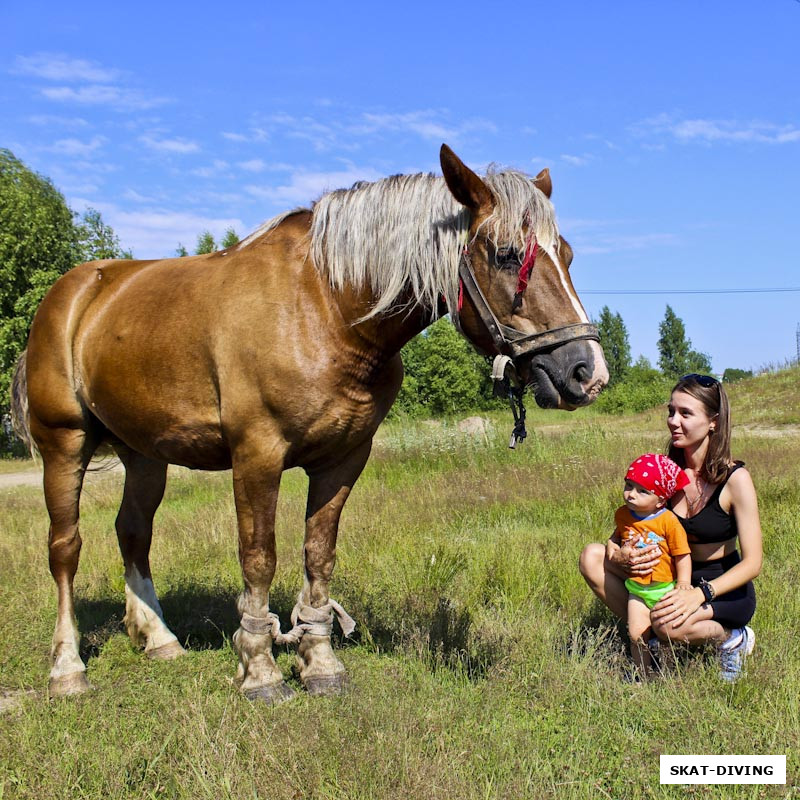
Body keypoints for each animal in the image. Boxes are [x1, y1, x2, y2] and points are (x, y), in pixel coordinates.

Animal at [10, 145, 608, 708]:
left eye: (567, 255)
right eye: (507, 255)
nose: (587, 372)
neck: (326, 309)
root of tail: (71, 293)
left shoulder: (343, 459)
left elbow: (318, 555)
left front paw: (319, 663)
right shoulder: (257, 456)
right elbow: (259, 559)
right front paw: (259, 671)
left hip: (145, 454)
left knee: (133, 532)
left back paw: (157, 638)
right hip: (65, 443)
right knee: (65, 548)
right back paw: (67, 668)